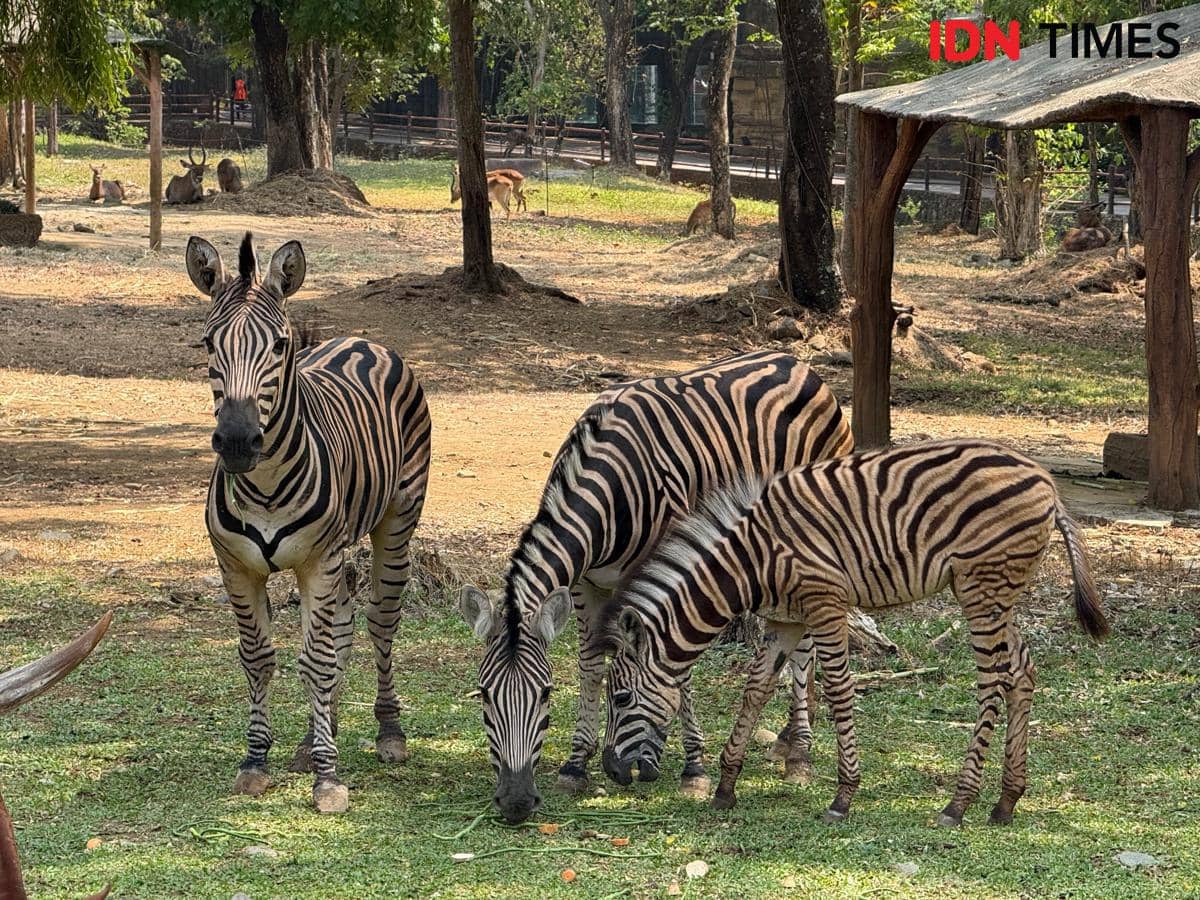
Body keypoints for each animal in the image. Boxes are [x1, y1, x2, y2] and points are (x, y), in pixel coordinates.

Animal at [186, 232, 431, 814]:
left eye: (279, 345)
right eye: (208, 344)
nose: (237, 442)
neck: (265, 486)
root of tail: (361, 341)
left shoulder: (318, 560)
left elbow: (316, 661)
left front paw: (328, 779)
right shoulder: (236, 568)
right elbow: (260, 658)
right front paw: (257, 761)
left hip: (396, 522)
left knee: (379, 622)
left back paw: (388, 733)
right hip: (338, 554)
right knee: (341, 625)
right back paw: (317, 735)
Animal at [457, 351, 853, 824]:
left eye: (546, 694)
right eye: (484, 696)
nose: (516, 802)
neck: (606, 488)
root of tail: (796, 362)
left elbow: (679, 670)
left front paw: (693, 768)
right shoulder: (585, 584)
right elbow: (592, 665)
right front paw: (577, 764)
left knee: (806, 646)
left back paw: (800, 754)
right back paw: (785, 741)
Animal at [599, 439, 1109, 827]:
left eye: (620, 699)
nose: (611, 771)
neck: (752, 561)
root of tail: (1046, 483)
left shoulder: (826, 604)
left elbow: (838, 690)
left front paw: (843, 796)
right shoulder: (785, 619)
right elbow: (755, 690)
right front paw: (726, 786)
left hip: (980, 588)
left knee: (993, 683)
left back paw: (958, 803)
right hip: (999, 592)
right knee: (1022, 672)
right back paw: (1006, 801)